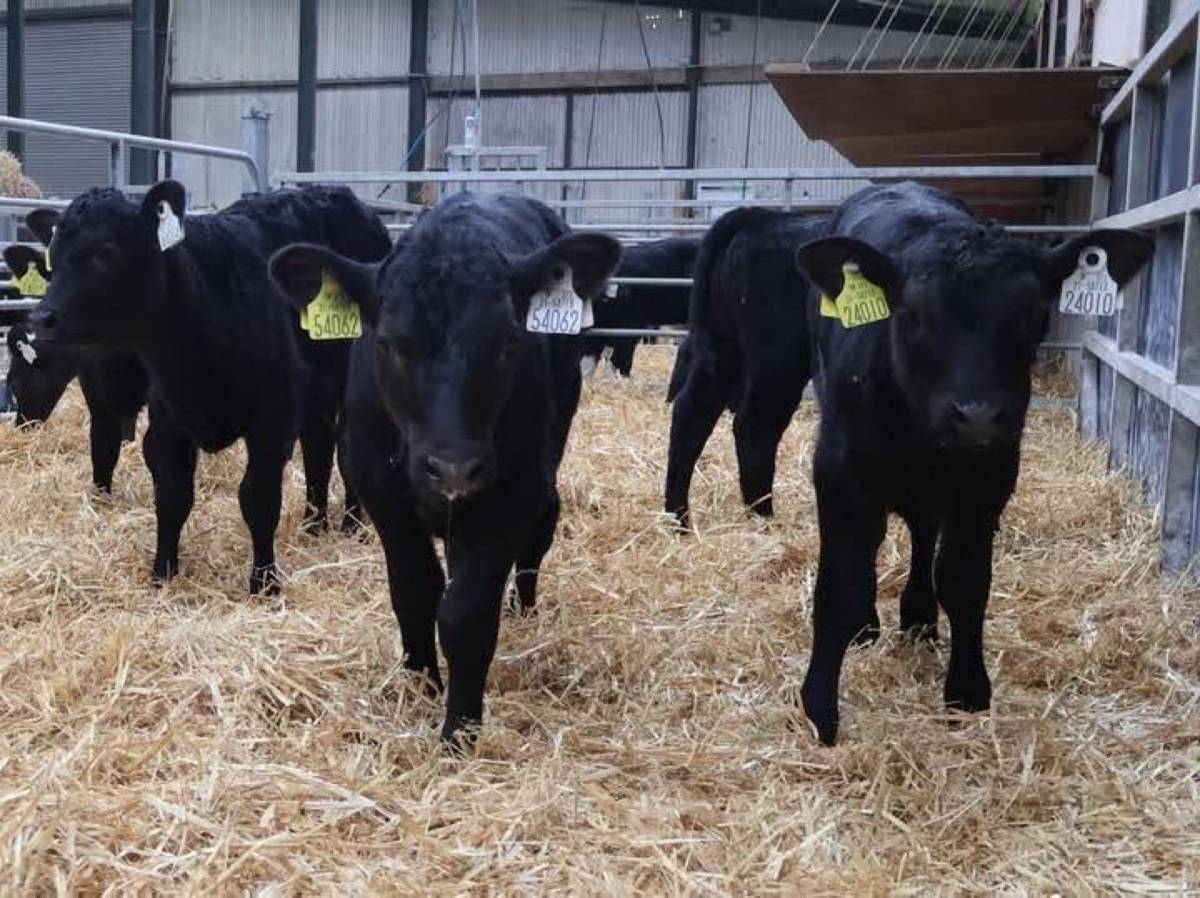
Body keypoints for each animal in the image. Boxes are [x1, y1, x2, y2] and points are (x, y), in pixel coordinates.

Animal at [29, 181, 391, 594]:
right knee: (318, 445)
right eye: (53, 254)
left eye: (105, 251)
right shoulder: (168, 417)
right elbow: (172, 496)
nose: (41, 318)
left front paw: (264, 582)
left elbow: (258, 498)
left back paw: (352, 525)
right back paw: (314, 525)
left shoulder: (272, 417)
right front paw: (161, 575)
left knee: (344, 450)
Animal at [269, 192, 621, 747]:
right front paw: (422, 688)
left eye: (508, 343)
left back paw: (524, 609)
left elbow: (466, 612)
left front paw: (461, 729)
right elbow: (414, 592)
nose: (453, 467)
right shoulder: (383, 494)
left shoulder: (508, 493)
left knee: (539, 533)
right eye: (388, 344)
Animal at [664, 208, 828, 527]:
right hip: (778, 359)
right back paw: (763, 515)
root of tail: (760, 217)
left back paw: (678, 518)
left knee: (691, 414)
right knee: (755, 425)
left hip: (721, 348)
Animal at [793, 181, 1153, 745]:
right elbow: (840, 583)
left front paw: (967, 690)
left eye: (1033, 315)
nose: (978, 415)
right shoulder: (839, 474)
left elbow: (964, 582)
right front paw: (820, 709)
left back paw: (919, 619)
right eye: (912, 316)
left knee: (923, 535)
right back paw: (870, 626)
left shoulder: (990, 480)